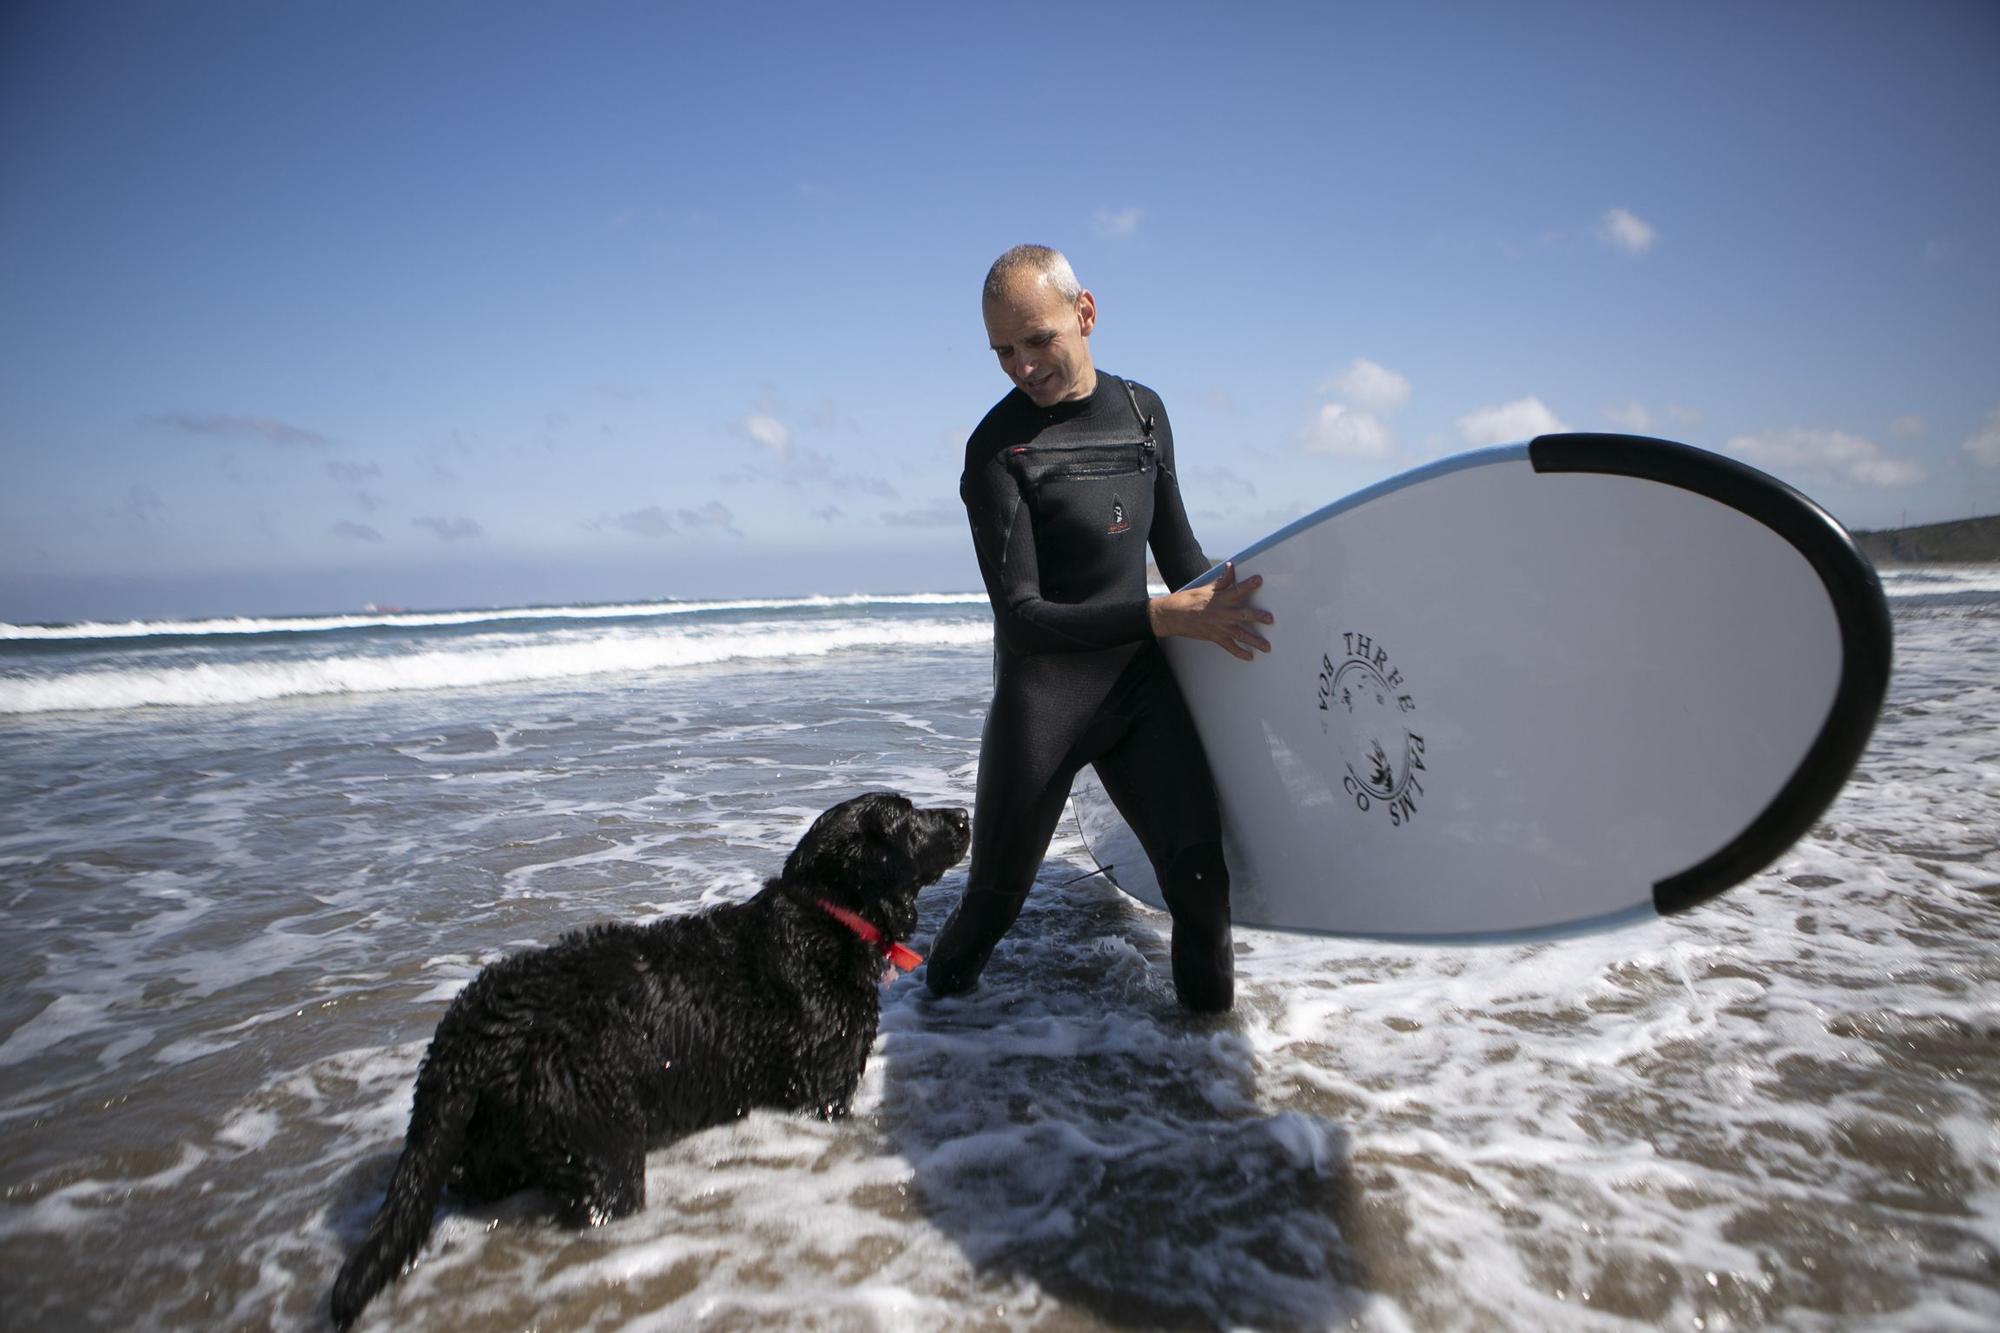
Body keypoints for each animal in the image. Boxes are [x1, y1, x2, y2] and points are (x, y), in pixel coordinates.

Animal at [330, 788, 968, 1320]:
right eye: (908, 815)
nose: (964, 815)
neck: (828, 918)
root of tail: (473, 1027)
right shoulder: (821, 1089)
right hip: (601, 1139)